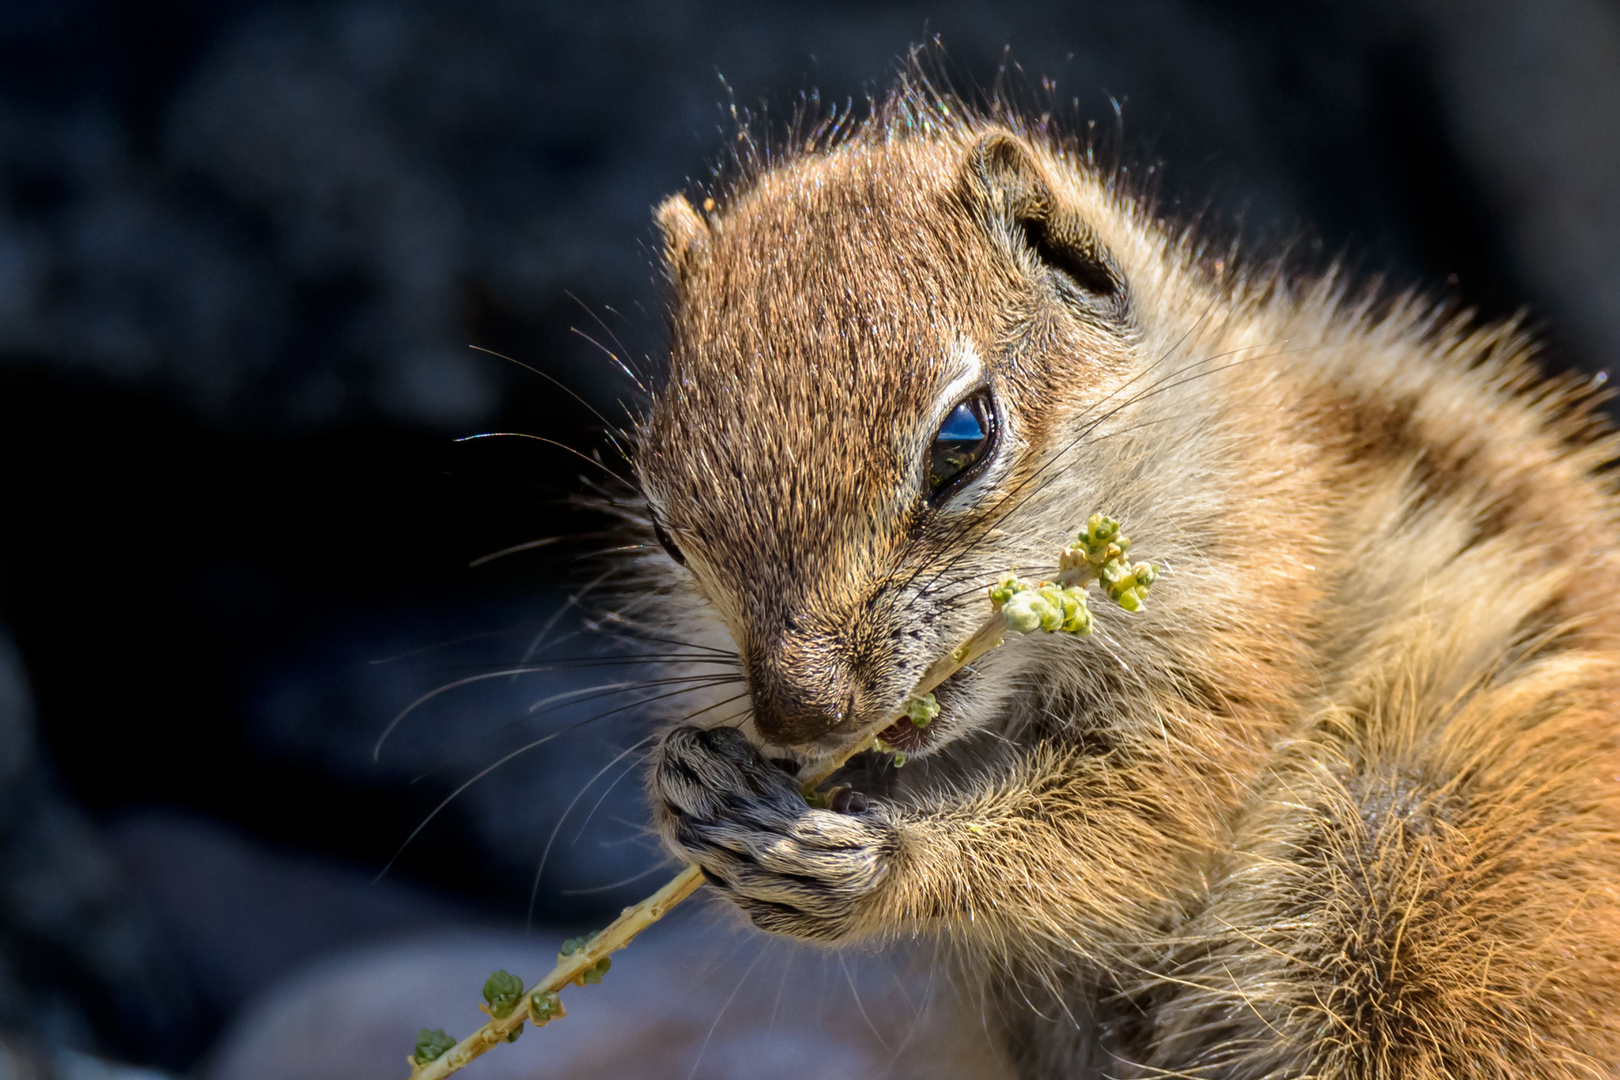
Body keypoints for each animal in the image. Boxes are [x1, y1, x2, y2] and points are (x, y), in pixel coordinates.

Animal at [625, 80, 1620, 1075]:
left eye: (963, 439)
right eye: (665, 528)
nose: (801, 717)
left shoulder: (1243, 621)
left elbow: (1145, 817)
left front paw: (883, 864)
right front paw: (689, 777)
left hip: (1430, 878)